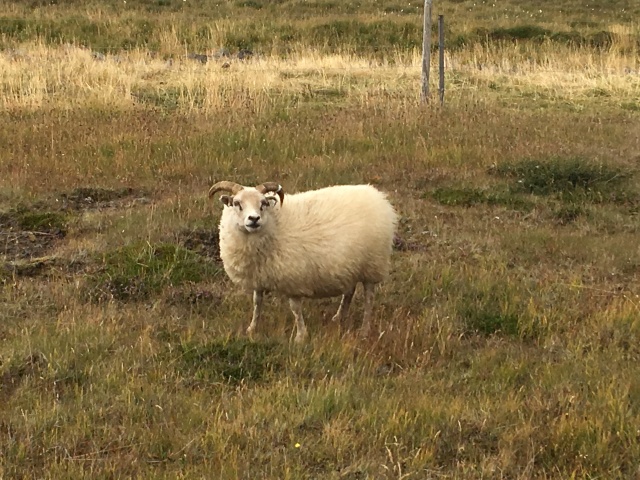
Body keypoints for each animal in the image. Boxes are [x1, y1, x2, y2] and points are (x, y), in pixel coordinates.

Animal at [208, 180, 398, 343]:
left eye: (263, 204)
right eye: (237, 203)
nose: (254, 219)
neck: (274, 225)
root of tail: (377, 196)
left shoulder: (292, 280)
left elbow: (296, 309)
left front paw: (300, 337)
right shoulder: (259, 276)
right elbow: (257, 303)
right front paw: (252, 328)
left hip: (373, 265)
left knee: (369, 298)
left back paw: (365, 330)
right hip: (349, 265)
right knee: (349, 290)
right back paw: (339, 317)